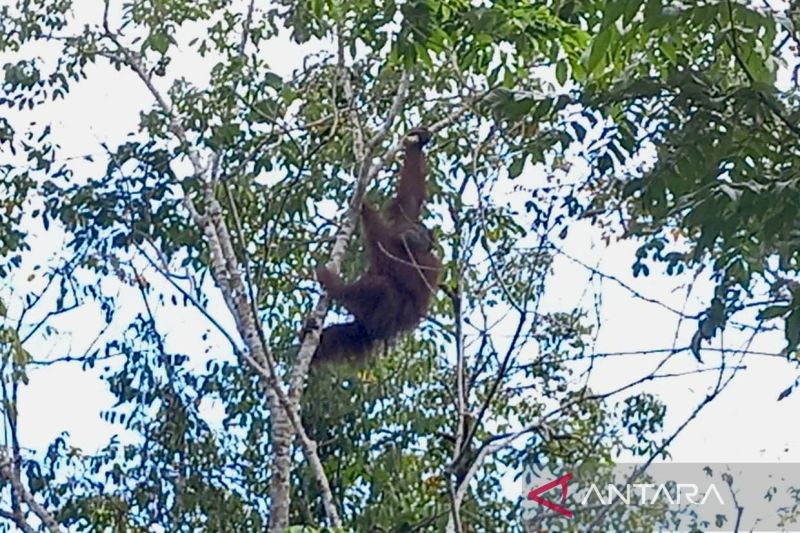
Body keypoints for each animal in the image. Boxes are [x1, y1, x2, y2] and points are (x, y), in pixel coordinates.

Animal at [312, 127, 441, 364]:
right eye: (417, 229)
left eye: (422, 235)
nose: (415, 234)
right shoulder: (404, 220)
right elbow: (410, 197)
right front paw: (418, 141)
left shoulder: (426, 262)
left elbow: (397, 263)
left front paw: (365, 206)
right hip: (358, 331)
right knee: (343, 334)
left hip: (384, 323)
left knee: (384, 288)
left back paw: (336, 286)